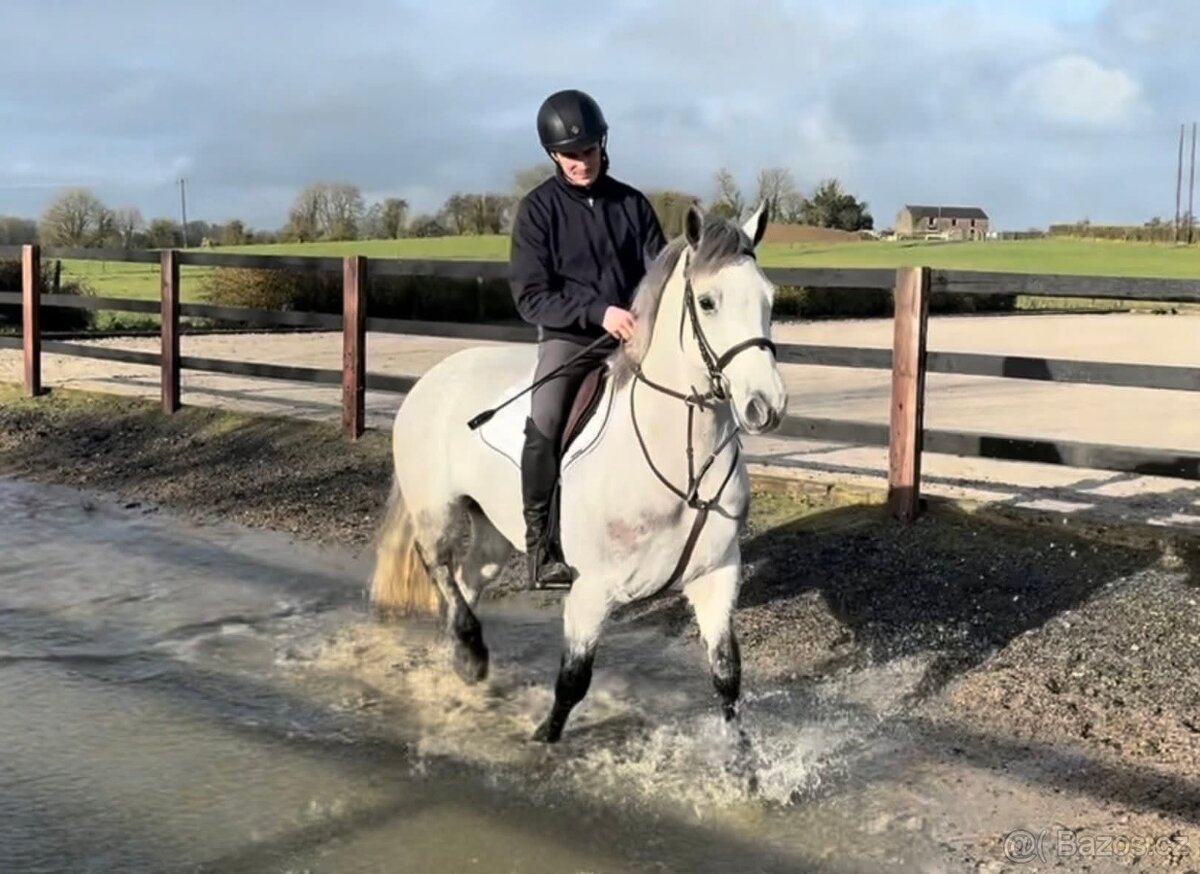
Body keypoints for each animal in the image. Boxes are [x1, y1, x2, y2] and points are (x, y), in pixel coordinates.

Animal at [368, 202, 788, 743]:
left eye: (769, 298)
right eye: (708, 302)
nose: (766, 406)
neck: (679, 465)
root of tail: (433, 378)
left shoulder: (717, 577)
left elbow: (727, 677)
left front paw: (741, 759)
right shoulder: (591, 589)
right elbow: (572, 680)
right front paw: (541, 741)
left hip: (494, 530)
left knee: (468, 576)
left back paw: (462, 656)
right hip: (435, 510)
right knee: (439, 566)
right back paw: (470, 652)